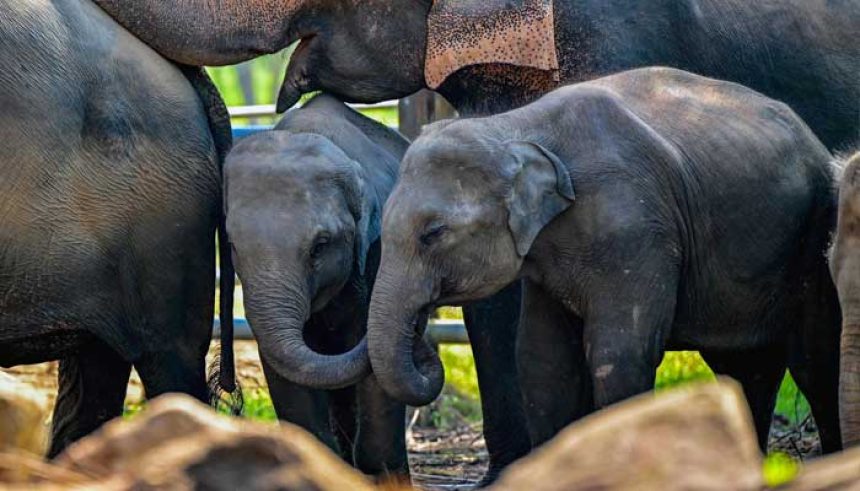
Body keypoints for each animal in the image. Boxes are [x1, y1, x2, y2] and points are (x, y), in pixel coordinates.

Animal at [366, 67, 844, 456]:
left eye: (432, 234)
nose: (425, 339)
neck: (515, 127)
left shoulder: (636, 229)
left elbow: (620, 354)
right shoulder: (546, 260)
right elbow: (543, 361)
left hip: (813, 242)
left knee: (814, 363)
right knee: (746, 369)